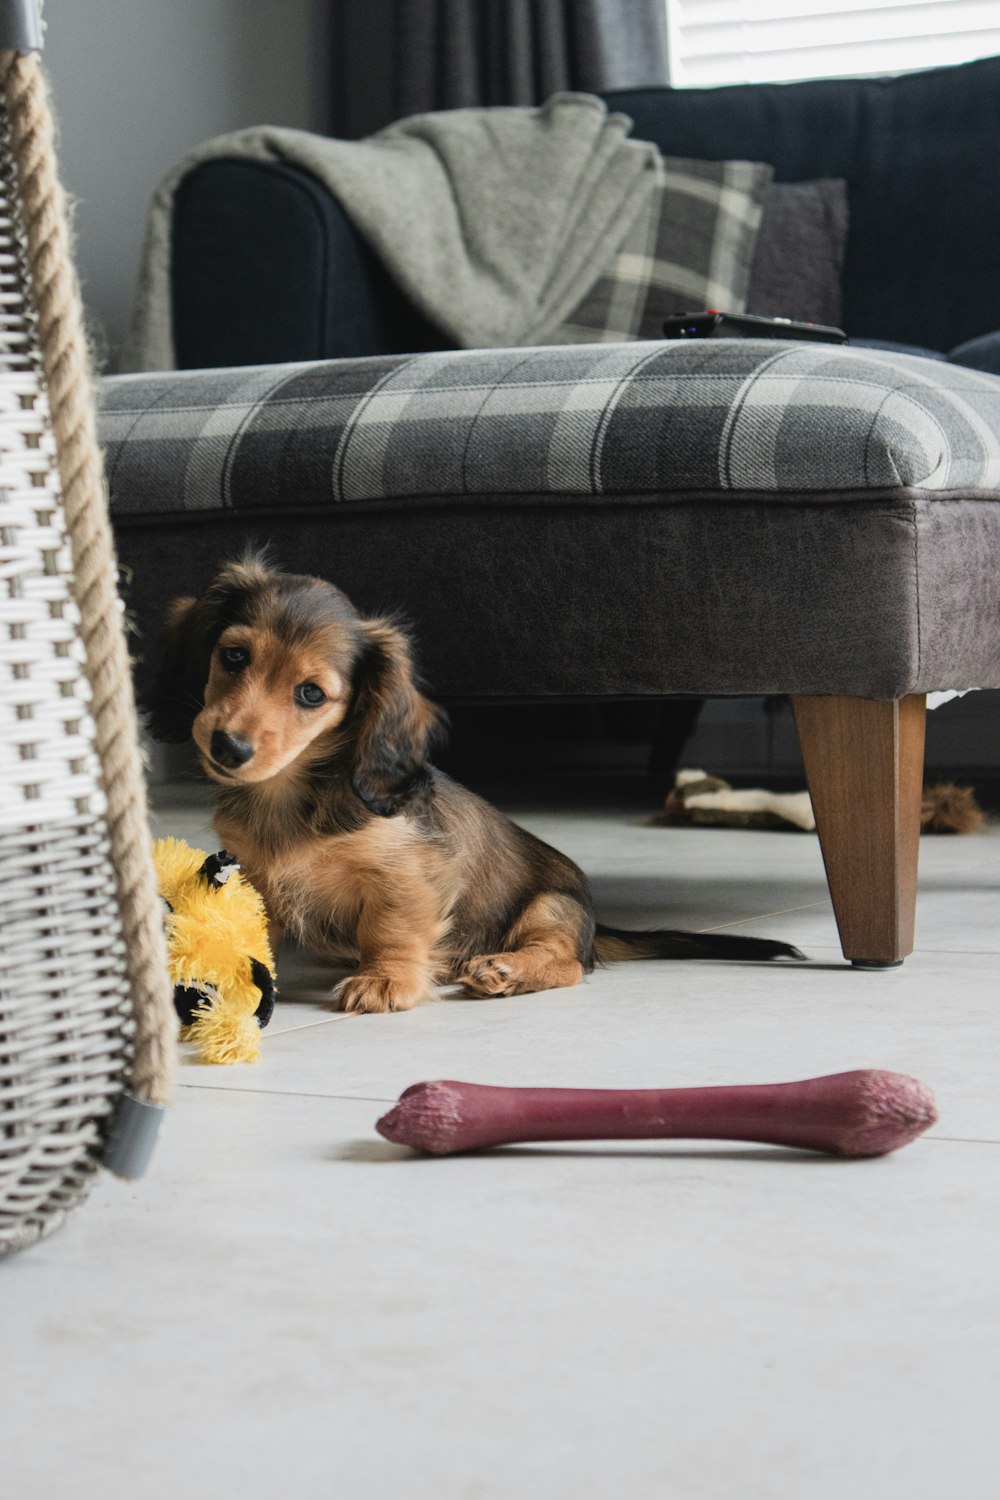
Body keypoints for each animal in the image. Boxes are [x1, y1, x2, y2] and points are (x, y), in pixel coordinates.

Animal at [150, 558, 803, 1014]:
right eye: (234, 656)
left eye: (311, 693)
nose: (227, 747)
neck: (293, 796)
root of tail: (597, 927)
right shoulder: (255, 876)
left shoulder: (406, 872)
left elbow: (390, 927)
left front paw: (385, 978)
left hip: (549, 907)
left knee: (568, 964)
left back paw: (507, 971)